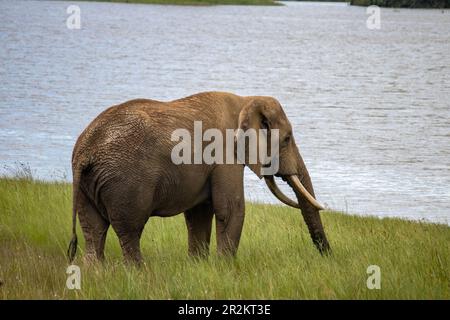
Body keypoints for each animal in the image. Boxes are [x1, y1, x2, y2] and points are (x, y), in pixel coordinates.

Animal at [68, 91, 332, 264]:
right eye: (287, 139)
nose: (328, 256)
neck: (245, 100)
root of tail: (84, 152)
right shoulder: (225, 152)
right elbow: (231, 209)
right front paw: (225, 269)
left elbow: (199, 213)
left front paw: (199, 266)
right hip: (124, 183)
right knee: (130, 230)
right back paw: (138, 272)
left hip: (87, 185)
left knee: (93, 229)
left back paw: (95, 272)